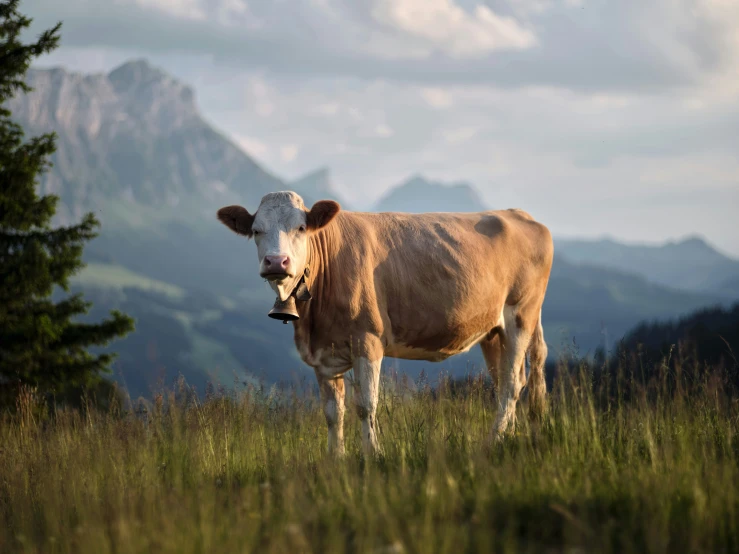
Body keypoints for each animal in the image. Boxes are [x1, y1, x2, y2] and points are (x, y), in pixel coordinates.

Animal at [220, 192, 556, 454]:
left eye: (301, 228)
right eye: (256, 231)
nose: (276, 262)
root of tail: (516, 213)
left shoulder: (367, 339)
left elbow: (366, 405)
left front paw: (373, 455)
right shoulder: (322, 355)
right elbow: (332, 412)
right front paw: (335, 461)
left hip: (521, 314)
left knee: (511, 384)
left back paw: (493, 442)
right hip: (493, 330)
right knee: (510, 380)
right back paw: (510, 437)